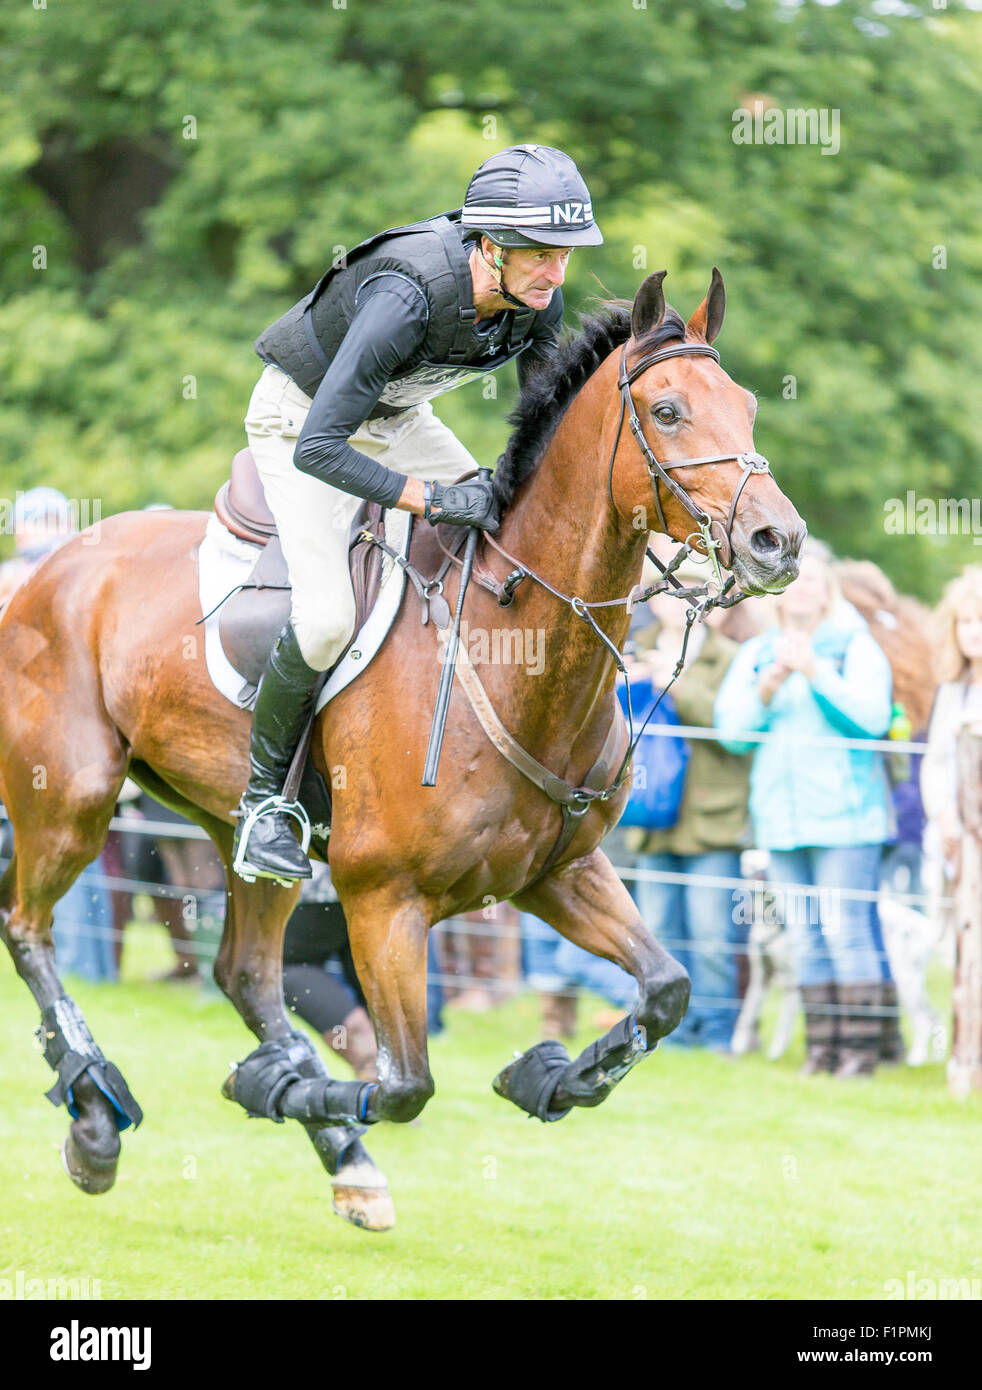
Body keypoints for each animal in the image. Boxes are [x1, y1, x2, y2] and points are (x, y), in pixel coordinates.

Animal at [0, 270, 805, 1231]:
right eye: (670, 410)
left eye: (749, 406)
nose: (779, 542)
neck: (517, 654)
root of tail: (51, 564)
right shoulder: (385, 902)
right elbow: (406, 1082)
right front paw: (273, 1089)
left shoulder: (558, 874)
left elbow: (667, 990)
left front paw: (546, 1077)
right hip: (72, 799)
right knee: (29, 928)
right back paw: (96, 1114)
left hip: (240, 836)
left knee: (245, 974)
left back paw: (340, 1153)